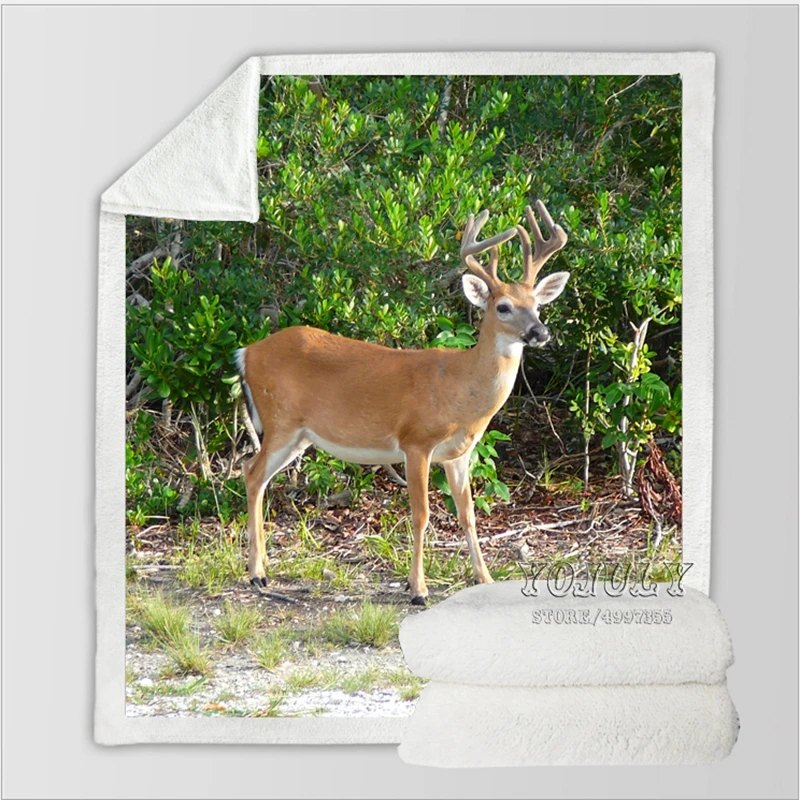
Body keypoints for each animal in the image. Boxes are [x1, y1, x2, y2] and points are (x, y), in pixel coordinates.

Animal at [234, 200, 569, 604]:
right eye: (503, 306)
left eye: (537, 305)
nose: (540, 332)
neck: (460, 389)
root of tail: (246, 353)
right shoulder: (416, 441)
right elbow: (421, 514)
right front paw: (418, 589)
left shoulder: (459, 454)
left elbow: (468, 513)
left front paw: (484, 578)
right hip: (280, 419)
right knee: (252, 472)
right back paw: (256, 574)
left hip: (298, 434)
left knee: (255, 475)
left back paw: (262, 568)